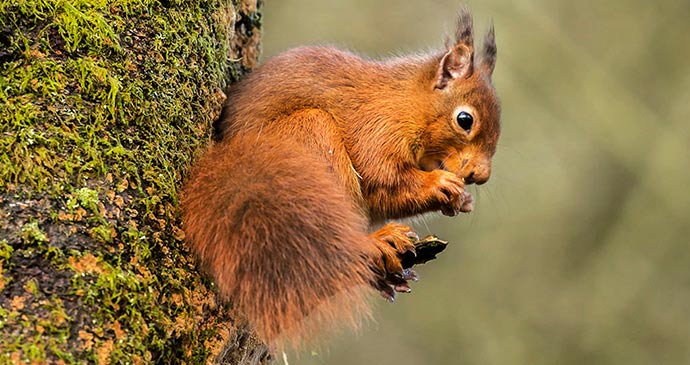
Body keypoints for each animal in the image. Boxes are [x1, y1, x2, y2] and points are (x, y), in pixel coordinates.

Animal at [180, 7, 498, 344]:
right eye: (464, 119)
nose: (480, 175)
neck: (408, 105)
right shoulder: (376, 129)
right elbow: (385, 180)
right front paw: (441, 184)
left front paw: (461, 200)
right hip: (312, 136)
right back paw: (373, 243)